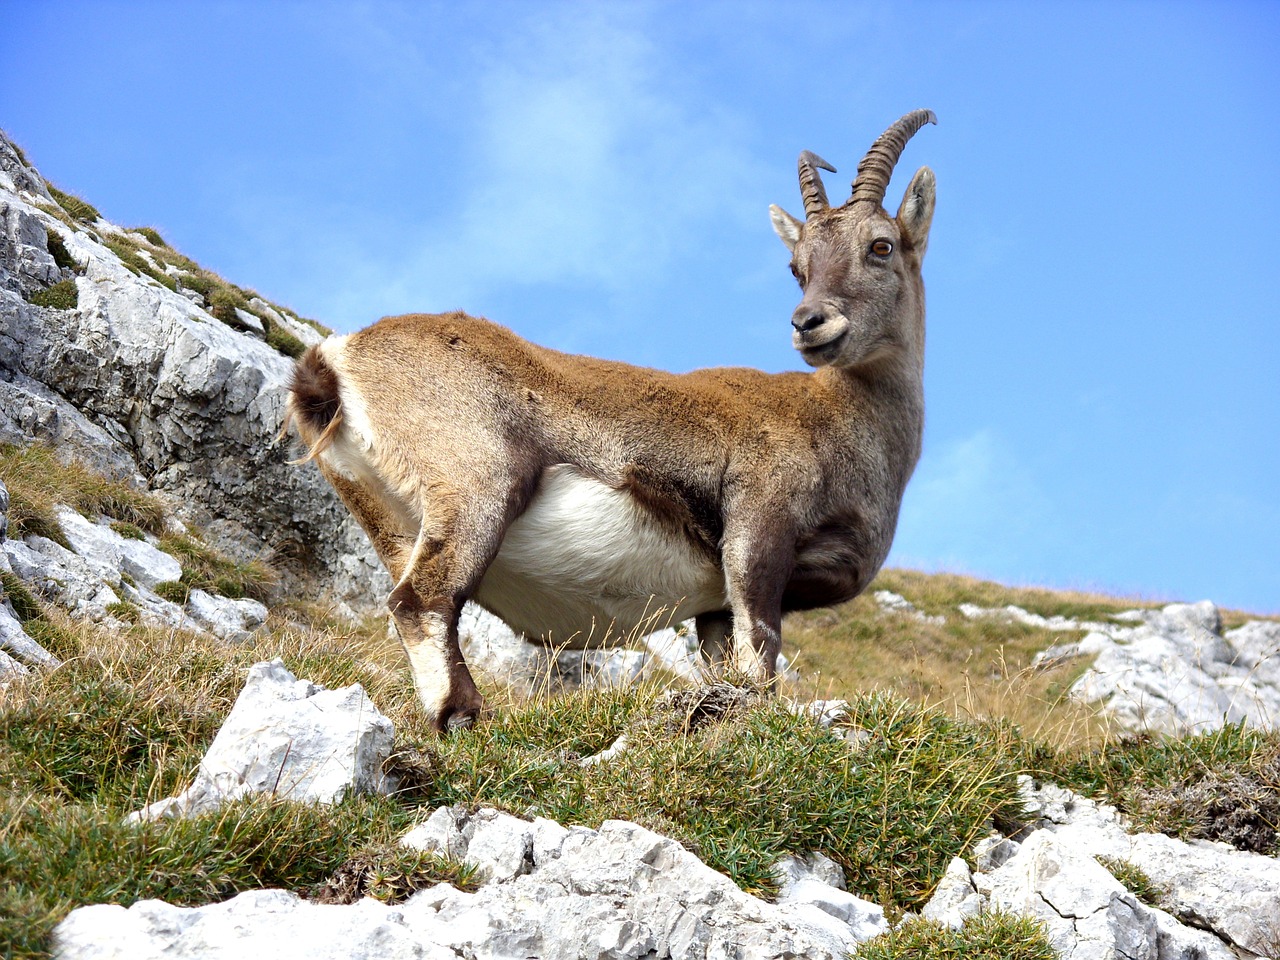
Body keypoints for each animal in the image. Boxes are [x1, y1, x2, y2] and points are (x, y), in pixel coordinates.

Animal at [286, 110, 937, 733]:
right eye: (797, 266)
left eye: (880, 246)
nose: (809, 323)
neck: (843, 422)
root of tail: (337, 358)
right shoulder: (758, 531)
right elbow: (761, 651)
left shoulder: (715, 604)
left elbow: (725, 662)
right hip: (478, 483)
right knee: (421, 600)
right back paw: (466, 717)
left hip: (388, 518)